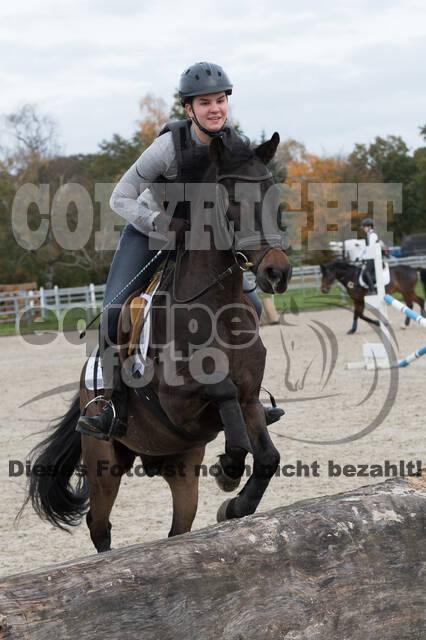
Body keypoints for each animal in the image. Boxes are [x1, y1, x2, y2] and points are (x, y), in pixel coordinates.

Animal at [24, 132, 292, 552]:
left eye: (272, 197)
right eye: (232, 202)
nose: (278, 273)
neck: (215, 309)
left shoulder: (250, 399)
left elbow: (266, 456)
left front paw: (234, 501)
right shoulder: (175, 400)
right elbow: (221, 390)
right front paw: (230, 467)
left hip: (180, 468)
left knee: (178, 527)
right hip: (105, 464)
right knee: (98, 523)